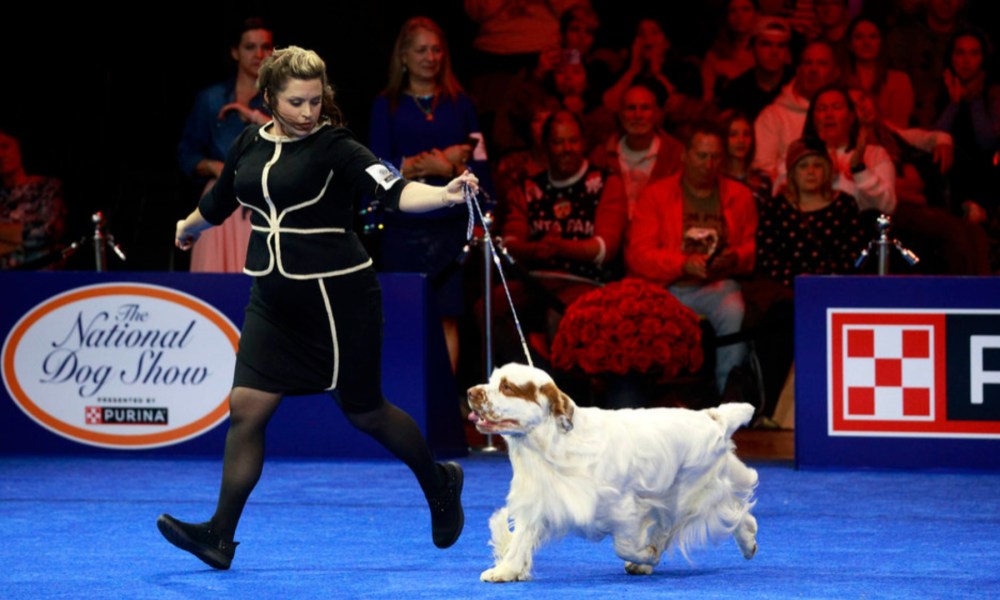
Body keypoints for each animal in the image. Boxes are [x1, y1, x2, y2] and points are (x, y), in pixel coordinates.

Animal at [468, 360, 756, 580]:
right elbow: (521, 540)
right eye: (492, 381)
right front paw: (504, 571)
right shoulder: (540, 499)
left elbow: (623, 545)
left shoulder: (624, 507)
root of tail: (713, 417)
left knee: (710, 515)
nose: (470, 392)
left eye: (507, 387)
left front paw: (644, 555)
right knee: (734, 510)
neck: (553, 444)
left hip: (686, 494)